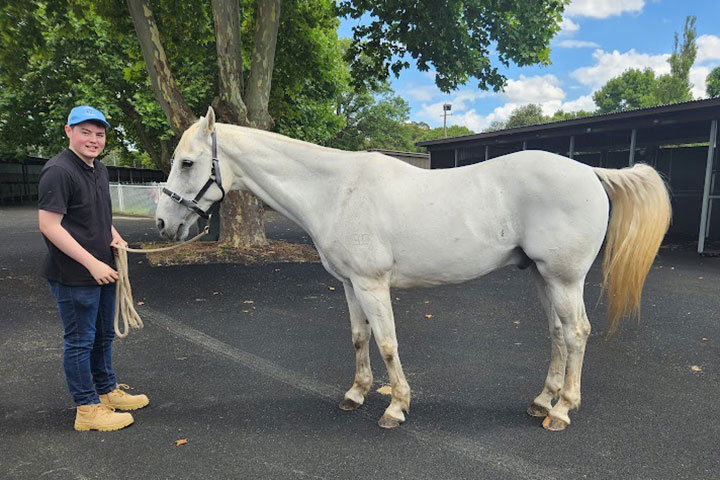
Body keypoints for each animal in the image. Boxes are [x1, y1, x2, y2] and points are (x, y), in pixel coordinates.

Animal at [155, 107, 671, 431]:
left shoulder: (372, 284)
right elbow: (359, 338)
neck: (336, 190)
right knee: (559, 334)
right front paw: (357, 394)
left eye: (188, 162)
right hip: (543, 277)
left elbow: (387, 342)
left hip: (564, 279)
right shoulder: (349, 285)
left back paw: (562, 411)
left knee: (577, 332)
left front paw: (396, 406)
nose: (163, 223)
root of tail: (589, 172)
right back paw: (542, 401)